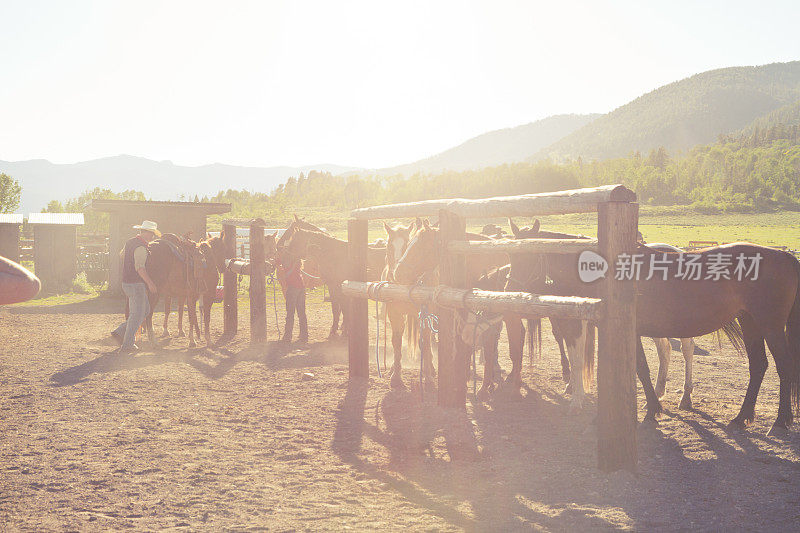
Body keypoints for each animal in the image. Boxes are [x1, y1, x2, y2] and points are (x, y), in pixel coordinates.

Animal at [506, 218, 800, 434]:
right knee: (758, 366)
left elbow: (640, 368)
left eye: (529, 256)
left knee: (783, 366)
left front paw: (650, 409)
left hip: (770, 326)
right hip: (750, 321)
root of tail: (785, 257)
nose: (508, 291)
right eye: (511, 255)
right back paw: (741, 417)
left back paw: (779, 421)